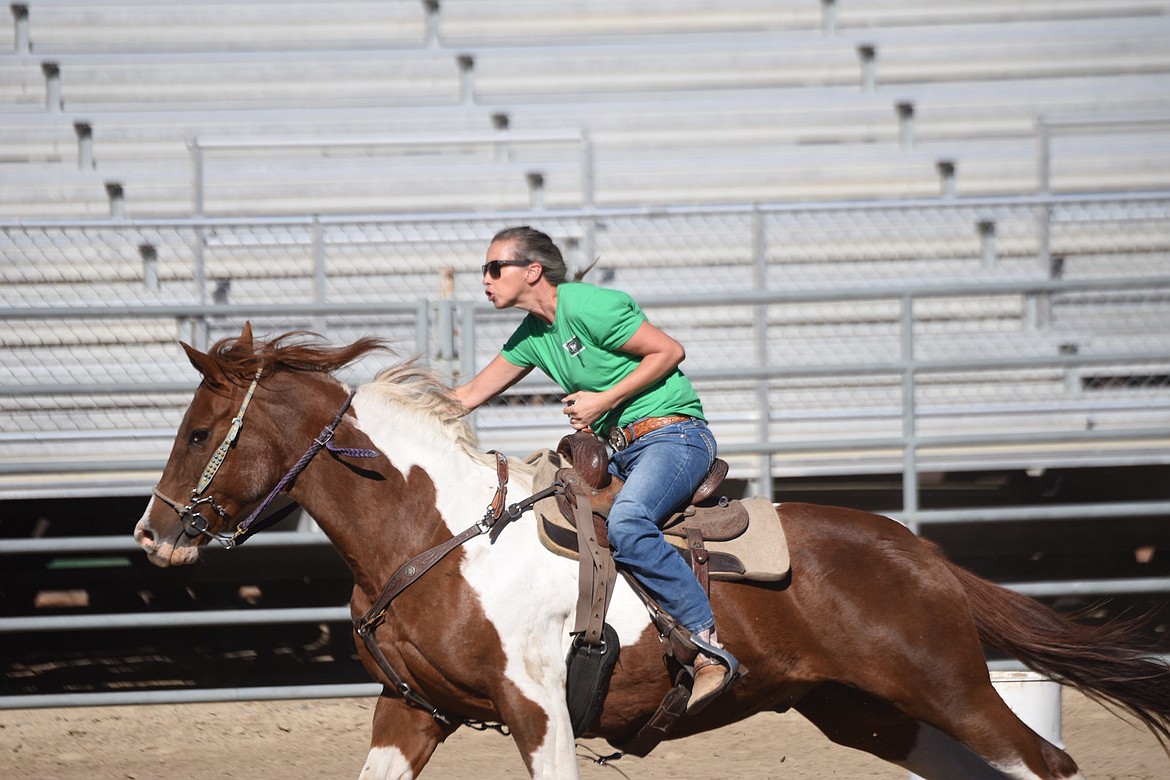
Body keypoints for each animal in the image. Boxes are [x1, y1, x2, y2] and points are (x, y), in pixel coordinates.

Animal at [132, 320, 1170, 776]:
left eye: (198, 430)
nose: (150, 535)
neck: (438, 535)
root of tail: (923, 554)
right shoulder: (411, 709)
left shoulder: (537, 708)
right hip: (870, 712)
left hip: (950, 688)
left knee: (1048, 763)